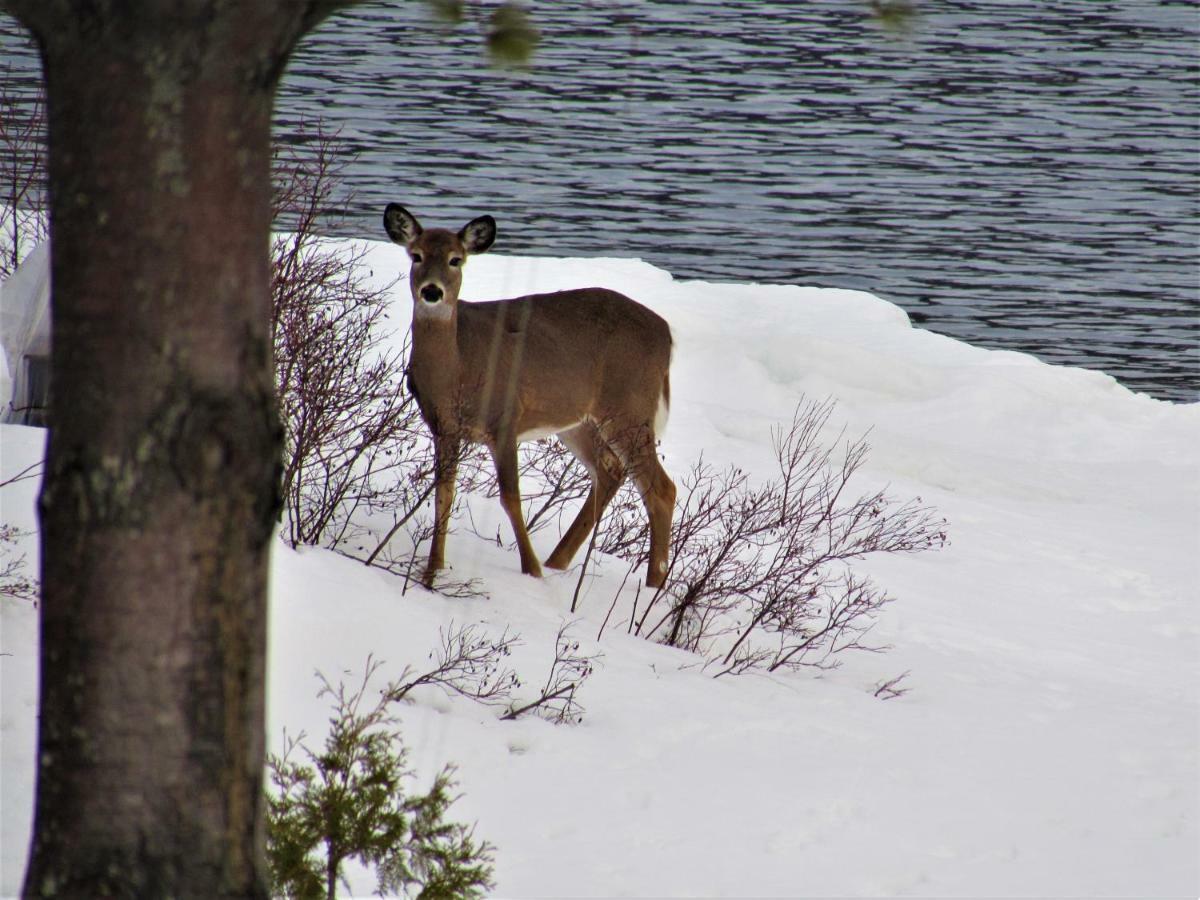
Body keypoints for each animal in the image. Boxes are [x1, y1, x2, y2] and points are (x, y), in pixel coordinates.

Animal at [388, 207, 681, 595]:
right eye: (416, 255)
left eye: (456, 259)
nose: (432, 291)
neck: (458, 369)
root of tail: (667, 335)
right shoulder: (443, 428)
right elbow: (443, 495)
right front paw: (431, 572)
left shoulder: (505, 417)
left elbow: (510, 497)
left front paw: (531, 571)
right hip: (577, 420)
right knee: (610, 471)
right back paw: (558, 562)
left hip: (628, 406)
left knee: (661, 489)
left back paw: (652, 587)